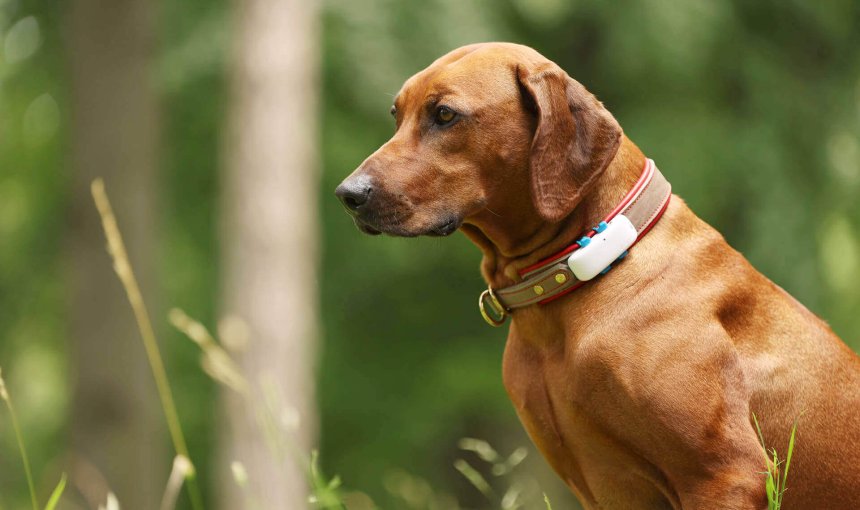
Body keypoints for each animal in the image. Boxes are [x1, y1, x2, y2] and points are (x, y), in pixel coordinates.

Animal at [334, 41, 860, 508]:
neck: (590, 263)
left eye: (445, 115)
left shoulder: (726, 474)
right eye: (396, 115)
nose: (348, 195)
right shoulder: (609, 487)